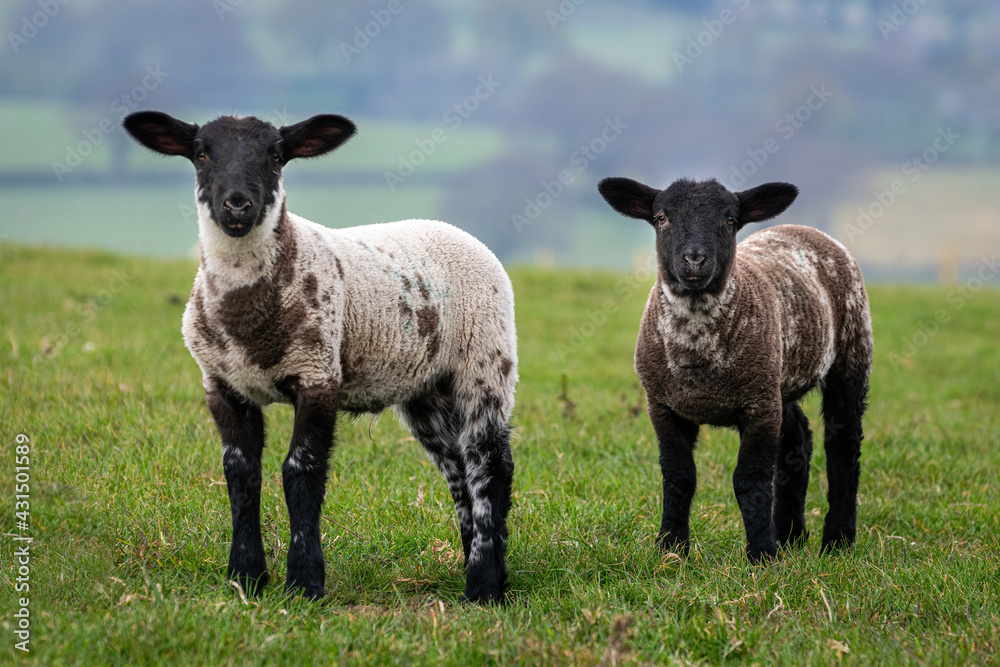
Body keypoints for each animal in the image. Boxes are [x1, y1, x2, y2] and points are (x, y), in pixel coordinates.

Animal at [122, 111, 517, 604]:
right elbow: (240, 472)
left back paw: (483, 585)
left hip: (485, 359)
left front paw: (304, 583)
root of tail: (457, 231)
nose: (238, 206)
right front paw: (246, 577)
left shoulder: (318, 374)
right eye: (201, 153)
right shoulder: (222, 385)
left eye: (275, 155)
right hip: (426, 390)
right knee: (457, 469)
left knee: (489, 465)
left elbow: (300, 472)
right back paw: (484, 570)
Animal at [597, 176, 872, 563]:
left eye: (729, 220)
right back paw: (790, 535)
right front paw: (671, 549)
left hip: (850, 352)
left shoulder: (758, 408)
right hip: (778, 378)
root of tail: (803, 228)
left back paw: (837, 541)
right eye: (661, 218)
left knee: (844, 446)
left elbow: (750, 480)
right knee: (798, 438)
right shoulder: (664, 407)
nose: (694, 259)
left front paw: (761, 555)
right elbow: (678, 476)